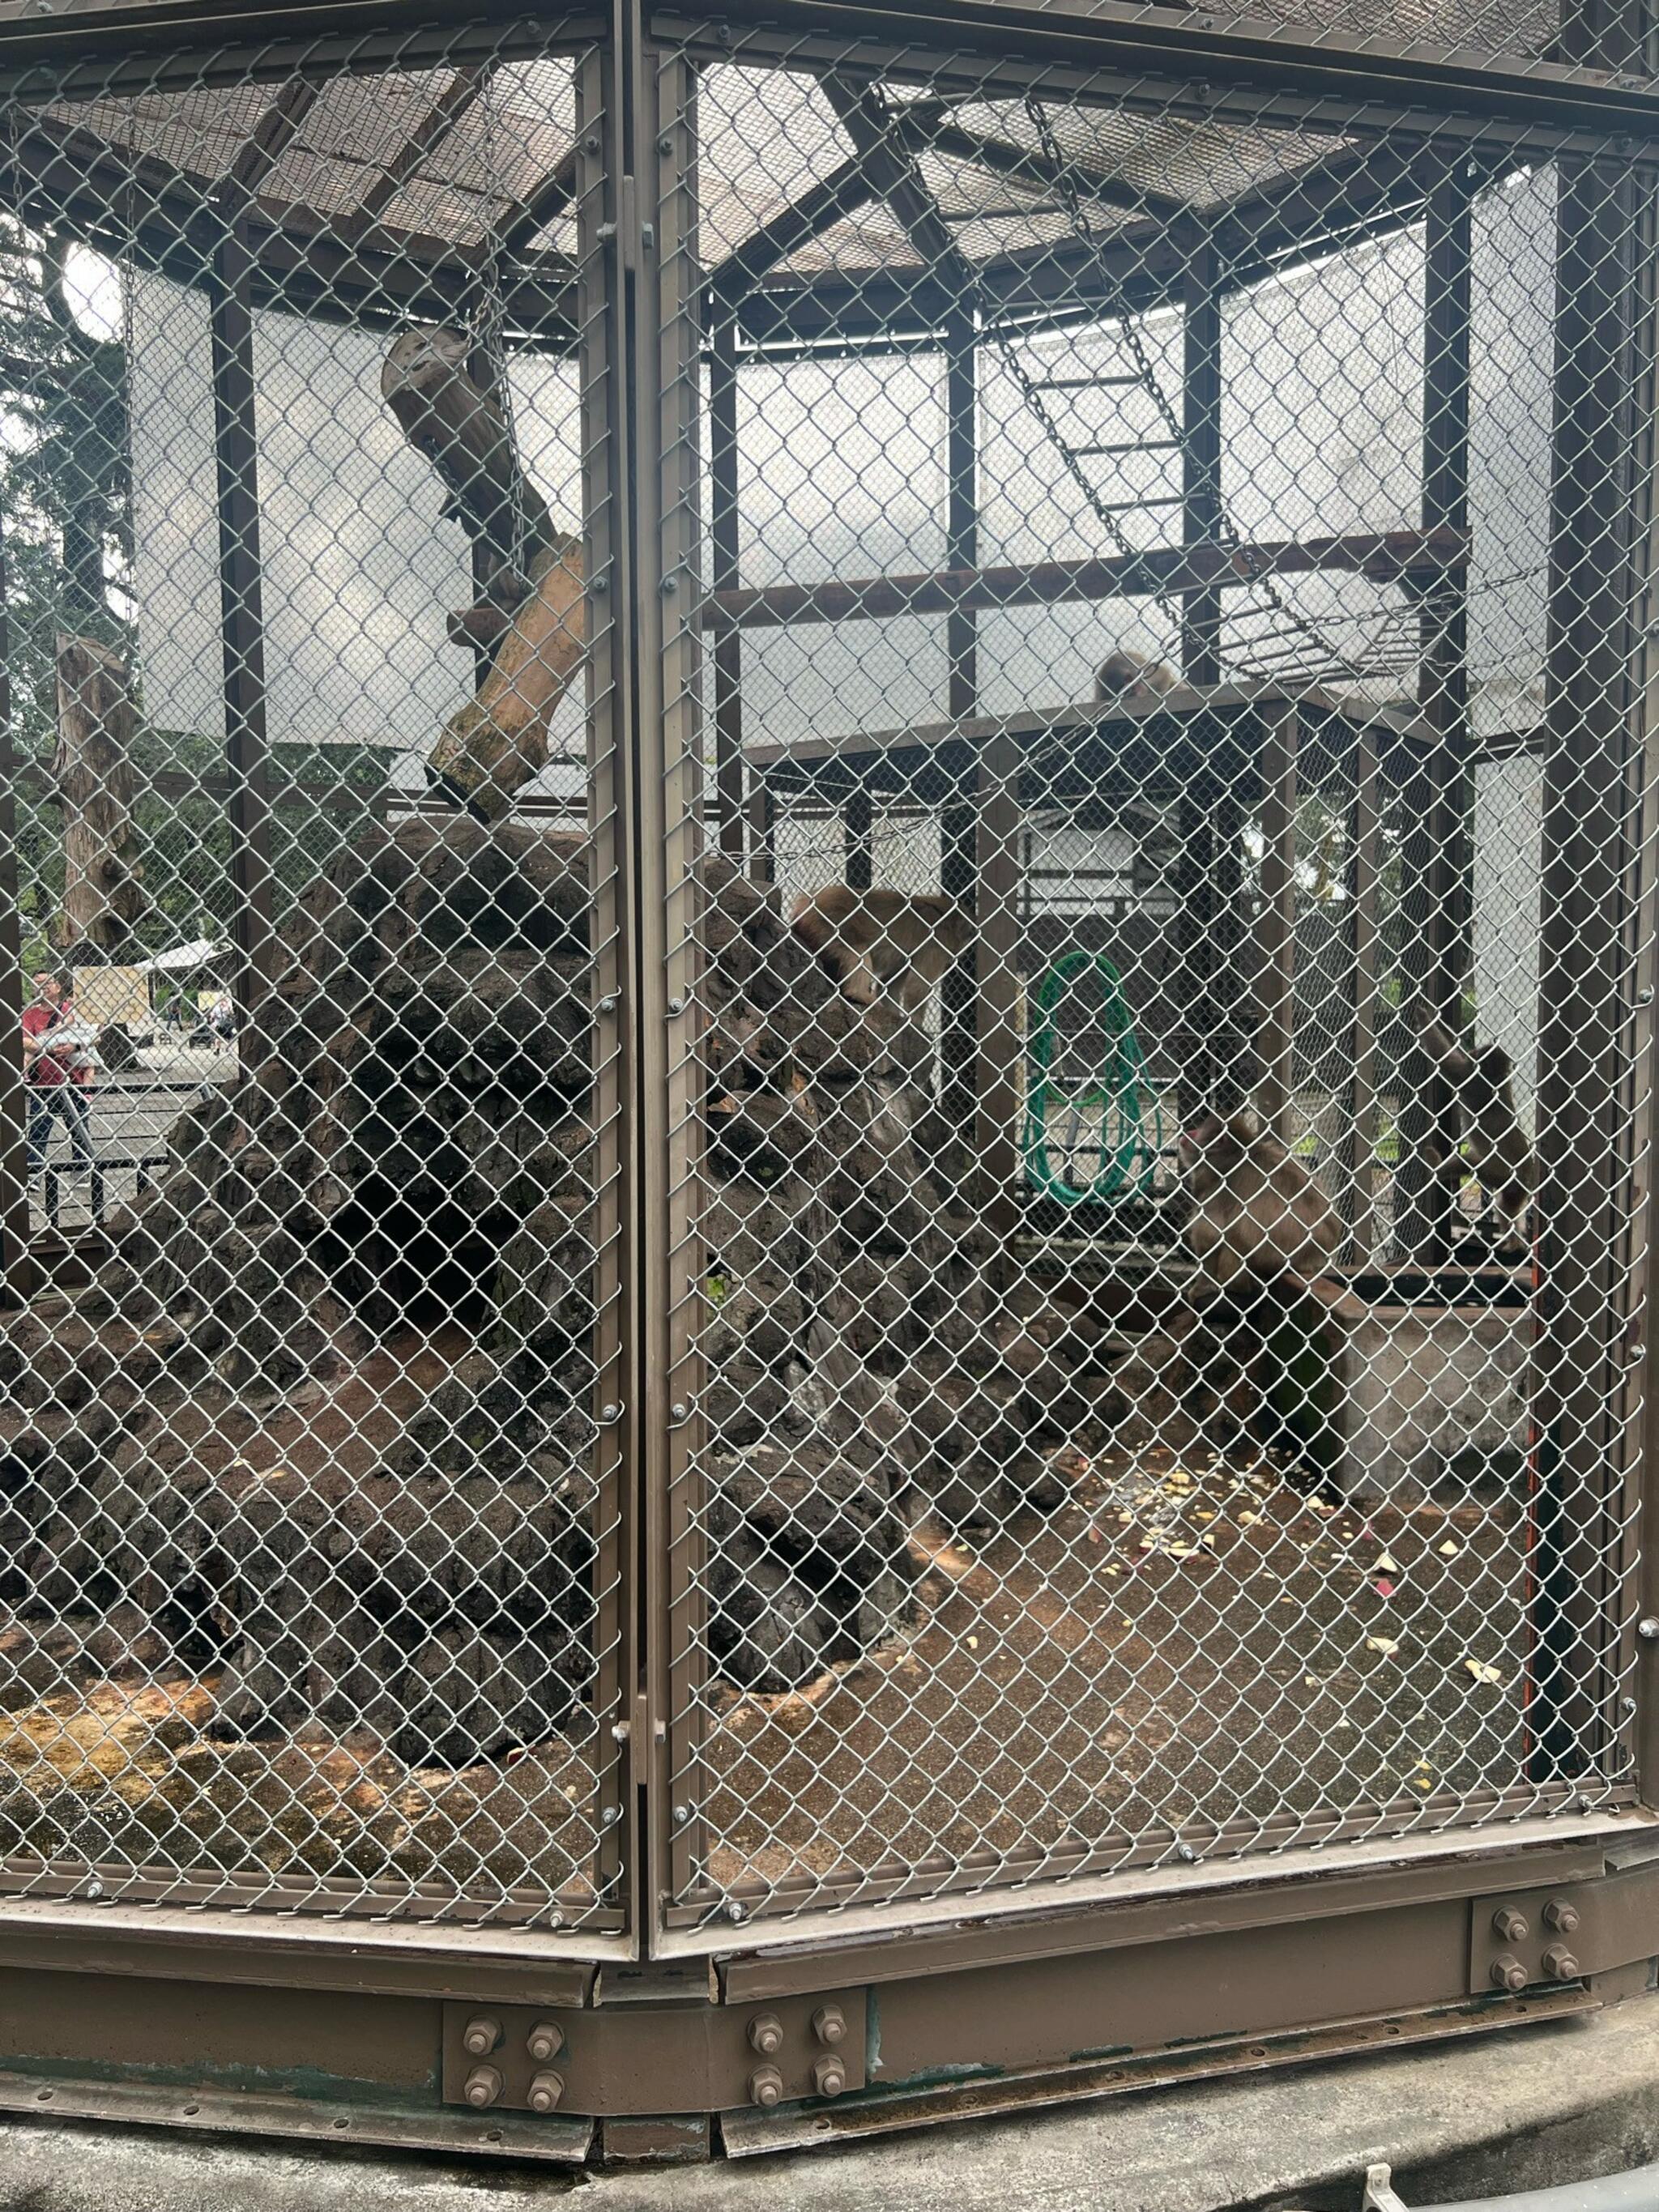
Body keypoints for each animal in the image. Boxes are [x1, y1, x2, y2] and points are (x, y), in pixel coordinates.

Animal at [787, 884, 973, 1012]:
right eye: (969, 937)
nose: (964, 952)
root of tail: (804, 904)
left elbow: (889, 983)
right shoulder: (938, 944)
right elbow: (917, 988)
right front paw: (916, 1027)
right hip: (828, 922)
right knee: (858, 951)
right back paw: (859, 994)